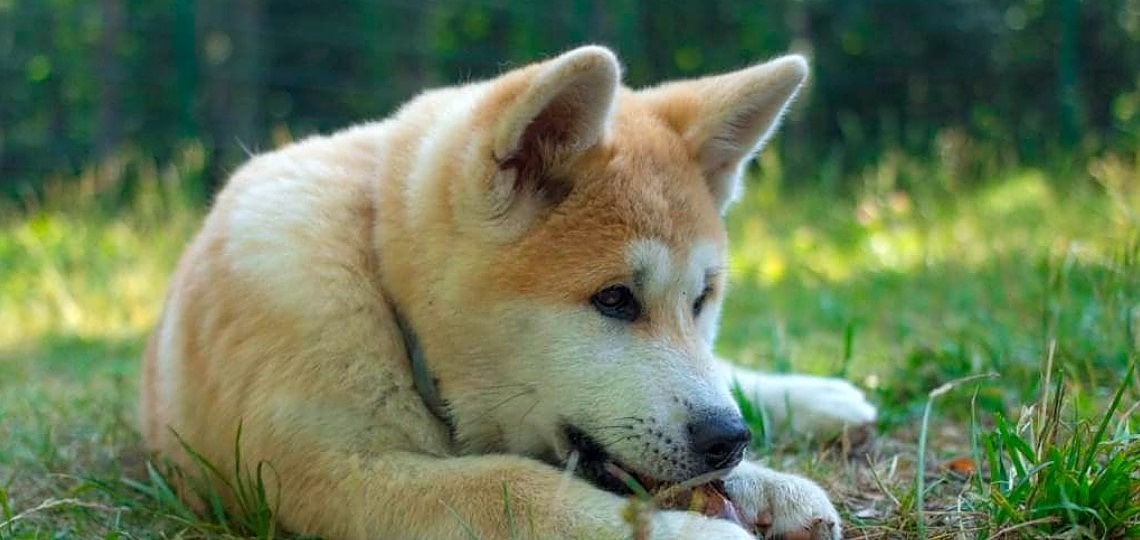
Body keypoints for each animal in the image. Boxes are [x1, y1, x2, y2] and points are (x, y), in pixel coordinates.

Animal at [140, 44, 870, 537]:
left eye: (701, 301)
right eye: (614, 299)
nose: (730, 439)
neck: (383, 287)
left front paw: (768, 482)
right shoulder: (326, 476)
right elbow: (512, 485)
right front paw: (693, 530)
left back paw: (818, 398)